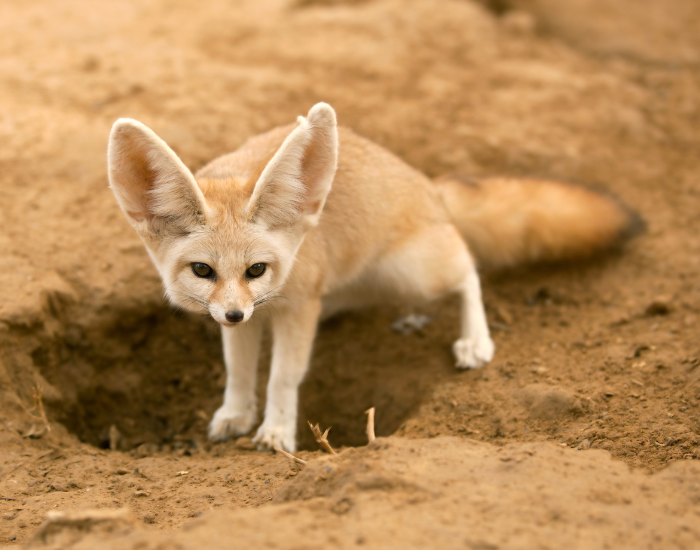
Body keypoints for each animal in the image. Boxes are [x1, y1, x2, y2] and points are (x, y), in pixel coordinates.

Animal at [107, 103, 642, 452]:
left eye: (256, 269)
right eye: (203, 270)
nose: (235, 313)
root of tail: (429, 186)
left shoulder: (297, 308)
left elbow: (283, 375)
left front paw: (277, 431)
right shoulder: (251, 317)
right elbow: (238, 371)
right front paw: (236, 414)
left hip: (415, 270)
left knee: (468, 268)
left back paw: (475, 339)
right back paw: (412, 317)